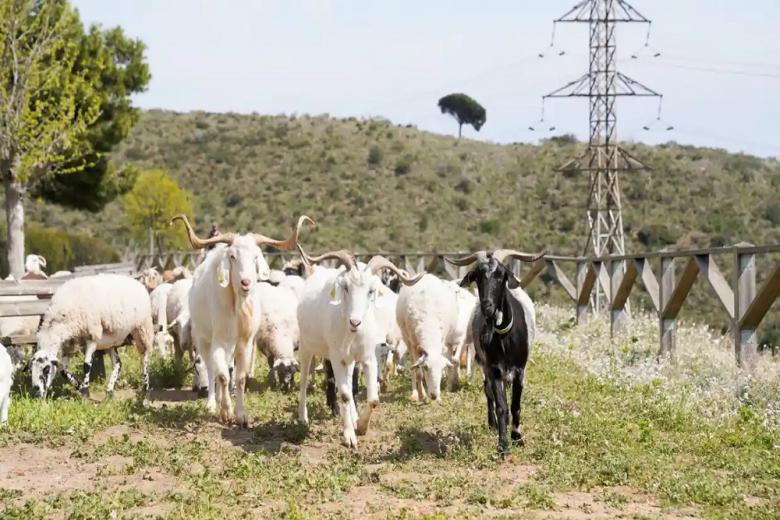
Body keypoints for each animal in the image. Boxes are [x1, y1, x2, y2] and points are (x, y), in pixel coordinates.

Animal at [172, 213, 312, 424]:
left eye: (255, 257)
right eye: (232, 256)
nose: (246, 282)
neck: (236, 309)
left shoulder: (244, 342)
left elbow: (239, 378)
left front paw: (241, 415)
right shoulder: (218, 341)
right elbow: (222, 376)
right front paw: (226, 411)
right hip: (204, 338)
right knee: (212, 369)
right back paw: (212, 403)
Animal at [298, 247, 424, 446]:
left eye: (371, 291)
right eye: (346, 287)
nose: (355, 322)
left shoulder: (368, 358)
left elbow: (372, 399)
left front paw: (362, 426)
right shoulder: (337, 358)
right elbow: (344, 395)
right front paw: (349, 436)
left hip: (350, 360)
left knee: (350, 385)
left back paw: (353, 416)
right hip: (306, 346)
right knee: (304, 380)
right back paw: (303, 417)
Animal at [444, 248, 544, 456]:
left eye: (500, 275)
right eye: (478, 276)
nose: (487, 306)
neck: (504, 335)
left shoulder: (519, 369)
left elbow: (515, 405)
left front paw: (517, 437)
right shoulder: (494, 368)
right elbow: (501, 406)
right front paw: (503, 444)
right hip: (484, 364)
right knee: (487, 390)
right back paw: (492, 423)